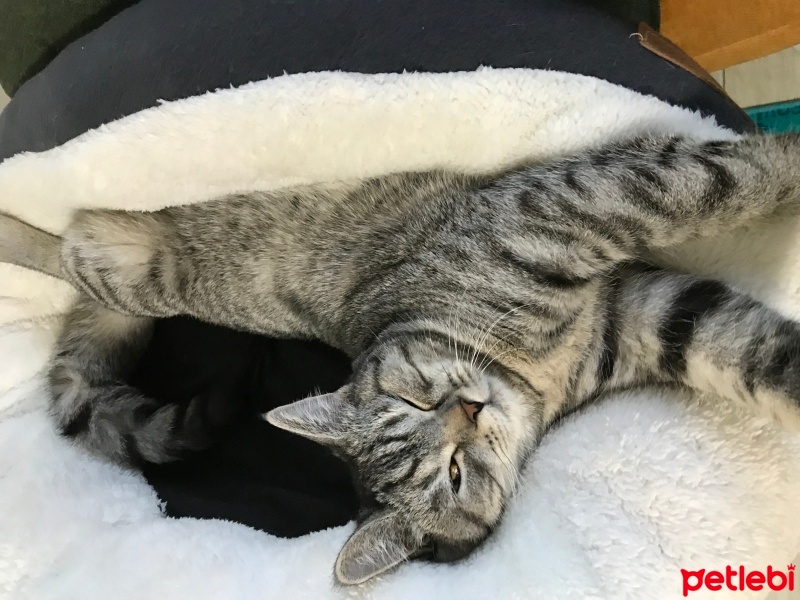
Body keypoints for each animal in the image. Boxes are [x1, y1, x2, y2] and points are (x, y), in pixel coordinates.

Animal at [1, 130, 800, 580]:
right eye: (455, 472)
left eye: (416, 397)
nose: (469, 409)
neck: (530, 375)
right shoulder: (577, 217)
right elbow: (711, 181)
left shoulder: (641, 302)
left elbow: (755, 339)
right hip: (124, 273)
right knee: (57, 247)